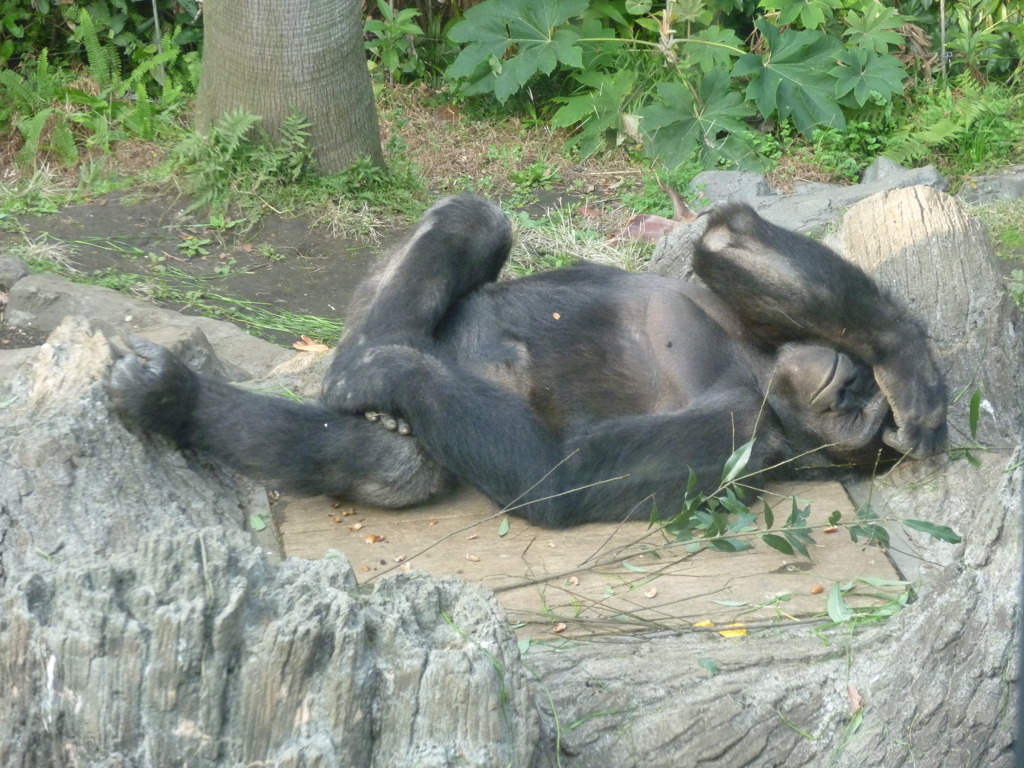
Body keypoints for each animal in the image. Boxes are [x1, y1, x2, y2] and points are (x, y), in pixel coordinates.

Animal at [108, 195, 946, 528]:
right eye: (856, 398)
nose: (852, 390)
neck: (759, 368)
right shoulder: (752, 321)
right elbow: (729, 238)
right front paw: (910, 367)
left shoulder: (740, 438)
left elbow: (561, 478)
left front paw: (384, 377)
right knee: (475, 219)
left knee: (389, 456)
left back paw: (180, 397)